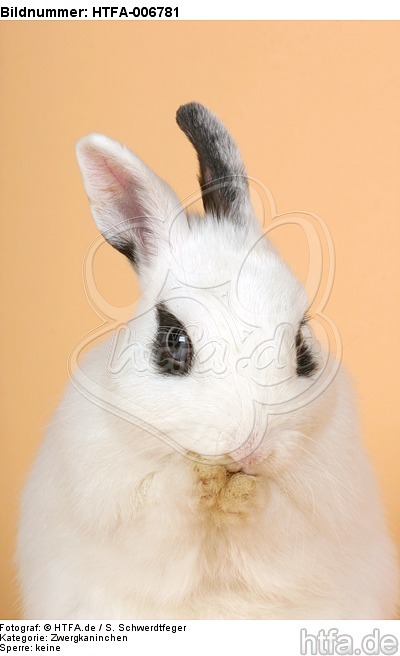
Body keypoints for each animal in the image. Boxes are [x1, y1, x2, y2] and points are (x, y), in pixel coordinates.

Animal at [16, 102, 399, 620]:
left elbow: (275, 519)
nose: (249, 449)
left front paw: (244, 494)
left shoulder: (316, 512)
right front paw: (199, 480)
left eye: (302, 348)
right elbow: (163, 507)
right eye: (174, 341)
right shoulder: (116, 505)